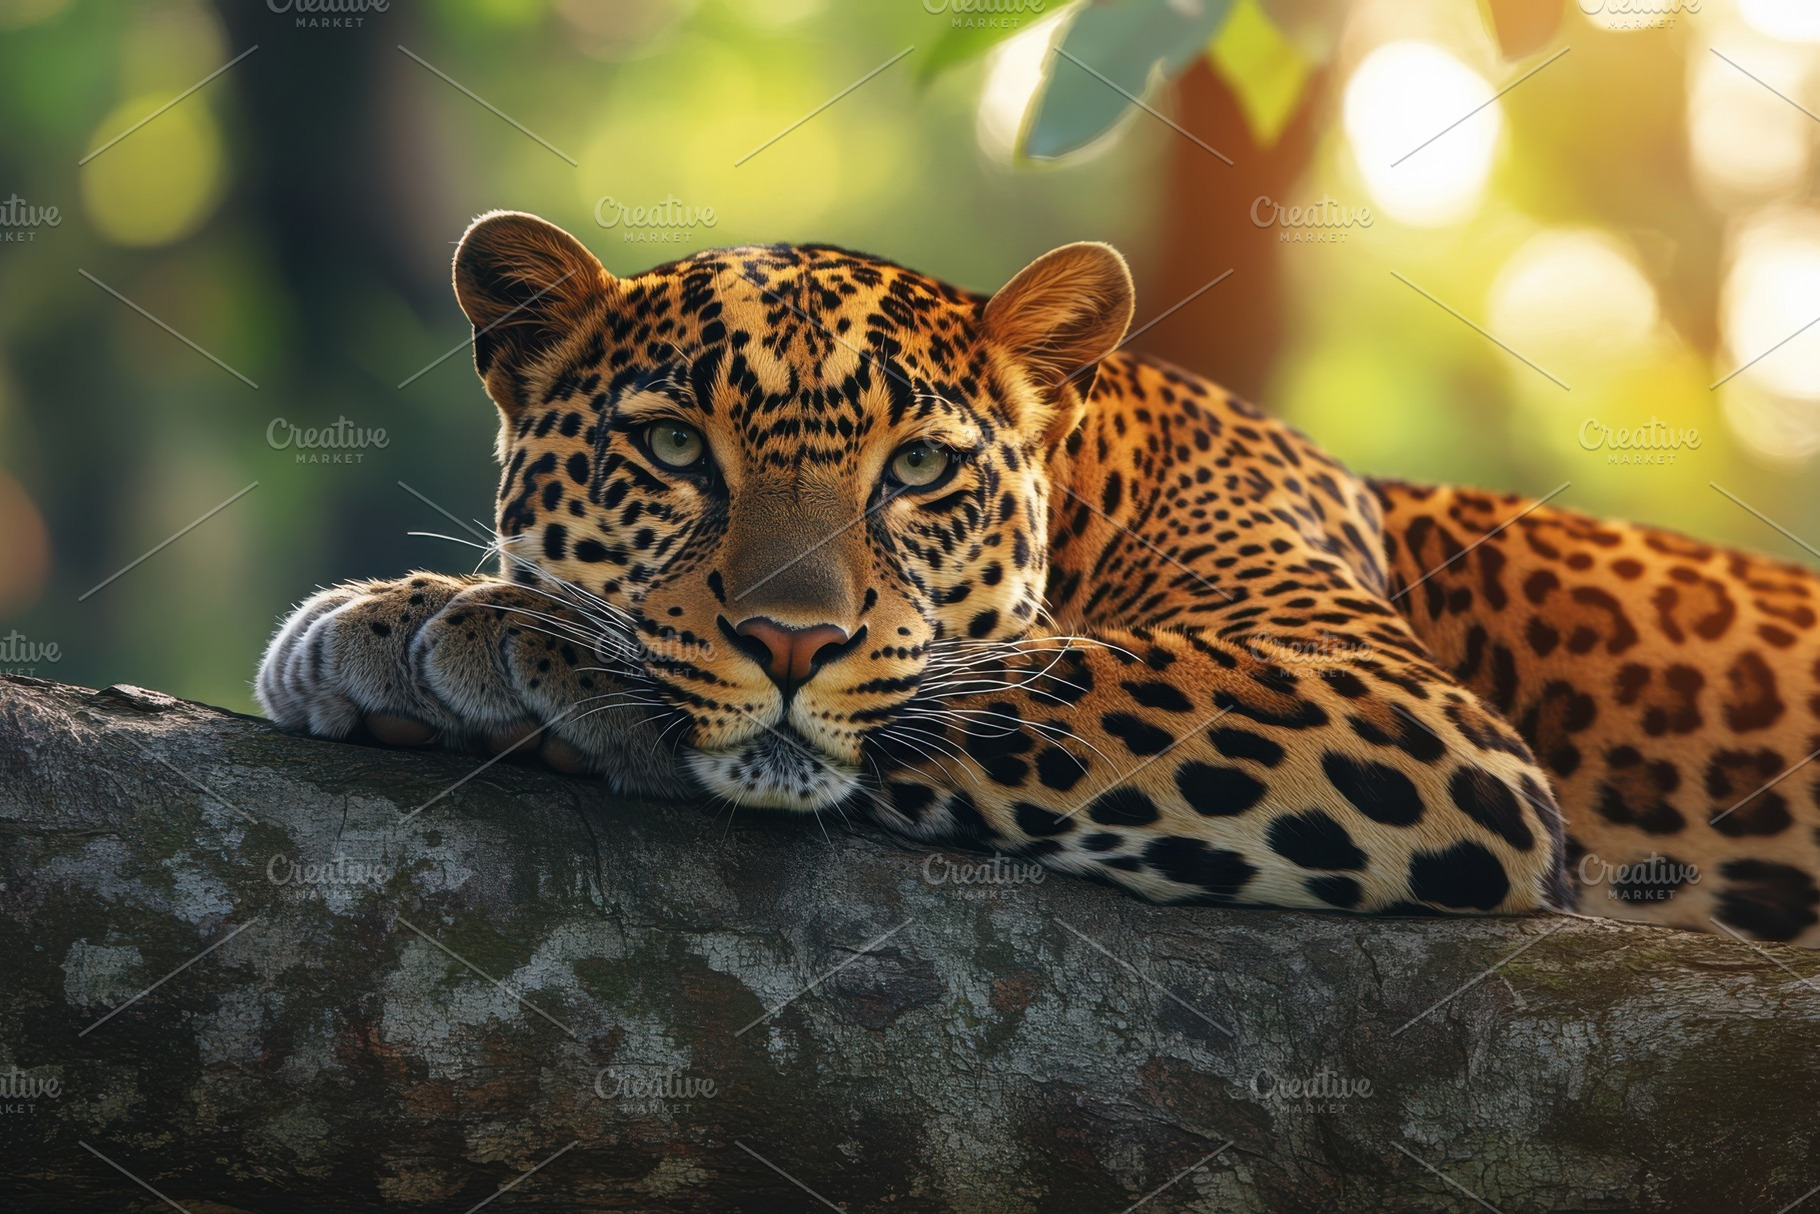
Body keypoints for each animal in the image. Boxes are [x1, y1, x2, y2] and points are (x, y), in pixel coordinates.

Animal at [257, 210, 1820, 945]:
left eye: (917, 469)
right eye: (671, 446)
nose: (788, 639)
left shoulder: (1411, 718)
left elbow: (982, 677)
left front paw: (479, 629)